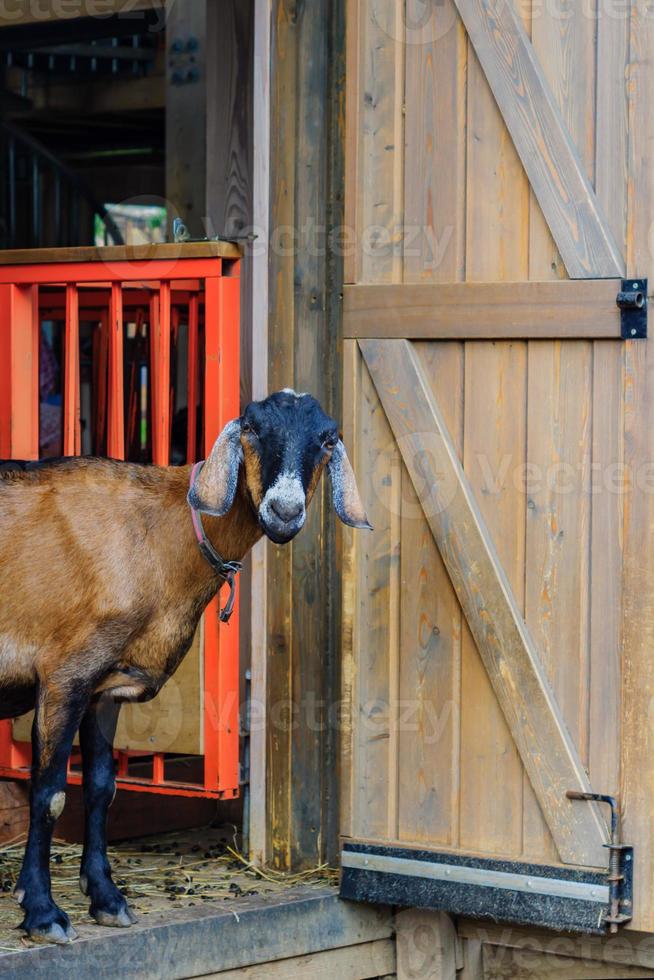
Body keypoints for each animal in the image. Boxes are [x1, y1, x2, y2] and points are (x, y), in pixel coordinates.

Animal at [0, 388, 368, 940]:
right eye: (251, 427)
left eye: (327, 439)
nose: (284, 510)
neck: (156, 534)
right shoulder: (66, 673)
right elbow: (50, 794)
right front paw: (43, 912)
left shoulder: (106, 685)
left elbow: (102, 787)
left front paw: (107, 899)